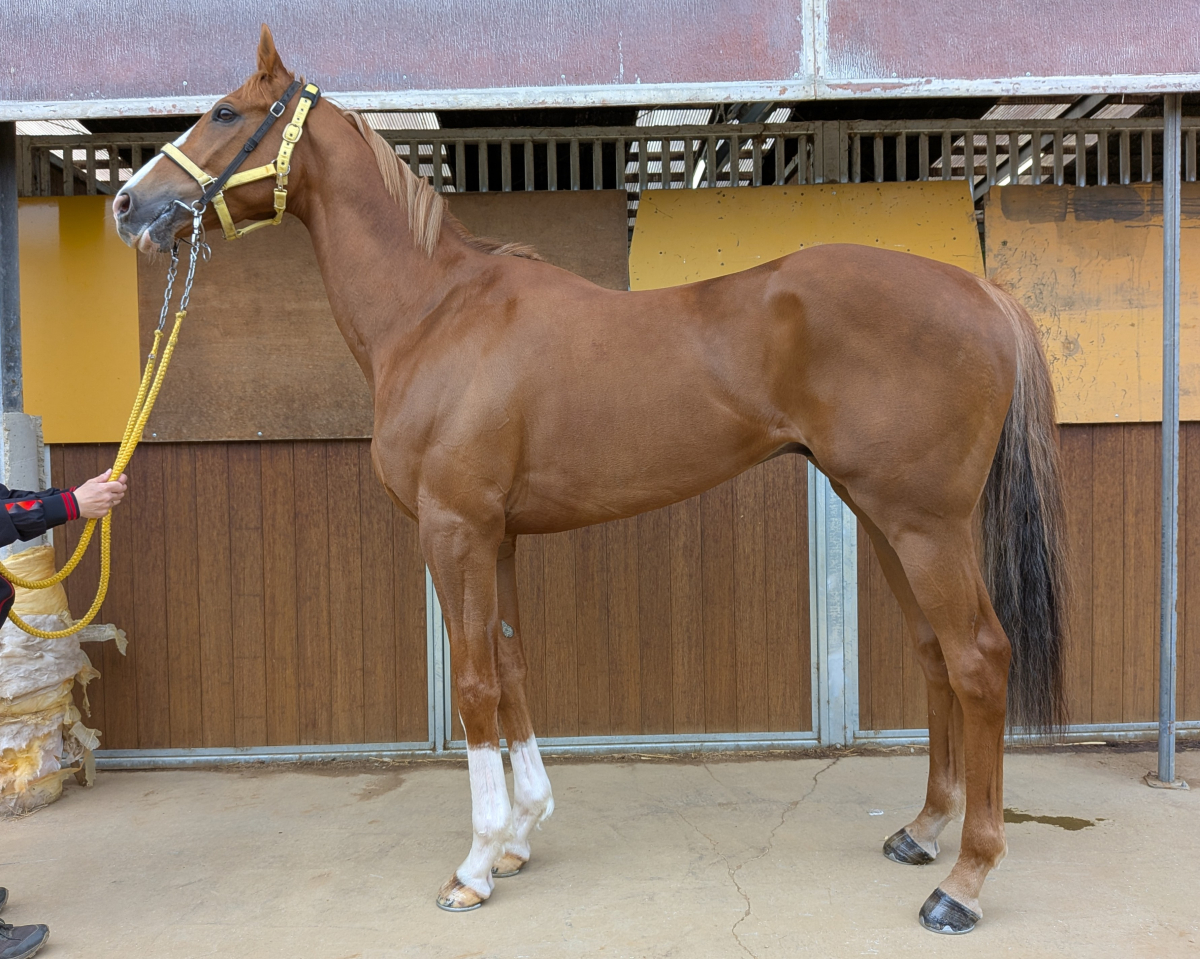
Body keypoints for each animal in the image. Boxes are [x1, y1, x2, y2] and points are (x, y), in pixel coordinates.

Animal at [112, 26, 1068, 935]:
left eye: (225, 113)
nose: (129, 204)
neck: (433, 313)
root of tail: (983, 295)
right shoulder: (495, 536)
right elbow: (511, 665)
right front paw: (521, 834)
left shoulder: (452, 528)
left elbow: (474, 682)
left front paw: (474, 865)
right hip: (881, 516)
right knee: (935, 655)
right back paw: (923, 829)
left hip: (924, 524)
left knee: (979, 658)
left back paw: (963, 882)